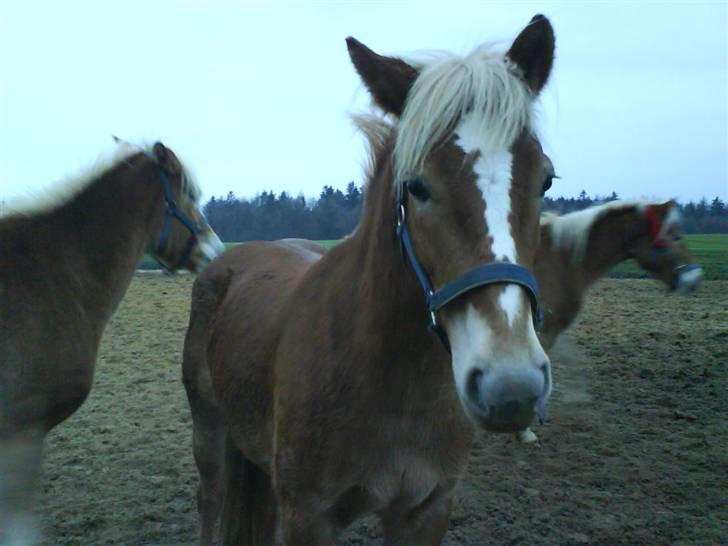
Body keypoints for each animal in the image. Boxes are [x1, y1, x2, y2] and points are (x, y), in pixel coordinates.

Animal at [183, 14, 556, 544]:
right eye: (417, 185)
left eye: (546, 178)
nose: (511, 386)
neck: (396, 386)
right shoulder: (307, 517)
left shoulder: (426, 510)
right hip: (210, 435)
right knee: (210, 502)